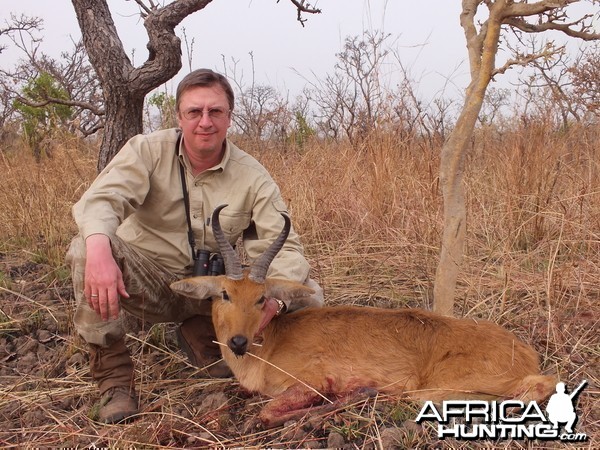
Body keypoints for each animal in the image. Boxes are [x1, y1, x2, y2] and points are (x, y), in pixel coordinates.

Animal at [169, 206, 552, 428]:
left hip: (438, 390)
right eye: (224, 293)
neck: (269, 348)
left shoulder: (310, 382)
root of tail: (525, 352)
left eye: (262, 298)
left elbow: (269, 412)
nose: (238, 341)